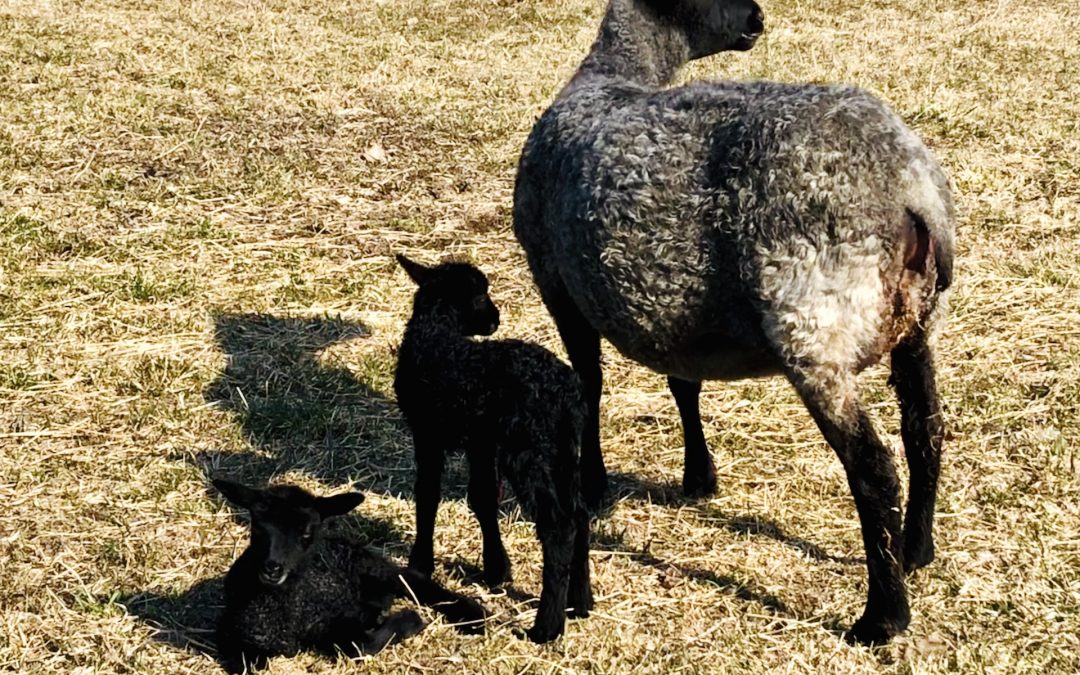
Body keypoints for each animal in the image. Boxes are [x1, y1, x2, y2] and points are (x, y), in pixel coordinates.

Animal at [214, 477, 486, 669]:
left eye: (306, 534)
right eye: (257, 529)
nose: (272, 568)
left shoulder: (340, 620)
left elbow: (359, 647)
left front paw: (411, 619)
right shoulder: (233, 634)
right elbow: (249, 663)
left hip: (375, 567)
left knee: (415, 583)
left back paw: (474, 616)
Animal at [393, 253, 591, 643]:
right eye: (482, 296)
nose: (495, 318)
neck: (438, 332)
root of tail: (565, 393)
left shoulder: (427, 430)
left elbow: (427, 492)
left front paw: (420, 564)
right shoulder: (481, 439)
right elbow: (483, 498)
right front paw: (496, 569)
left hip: (527, 449)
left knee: (558, 526)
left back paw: (546, 628)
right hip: (564, 450)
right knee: (579, 514)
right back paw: (580, 603)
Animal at [511, 0, 954, 643]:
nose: (756, 19)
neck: (604, 79)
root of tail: (911, 187)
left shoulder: (557, 283)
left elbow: (588, 384)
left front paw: (592, 481)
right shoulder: (676, 315)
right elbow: (682, 385)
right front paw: (699, 477)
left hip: (813, 322)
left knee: (872, 468)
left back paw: (882, 616)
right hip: (918, 322)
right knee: (925, 431)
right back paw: (917, 549)